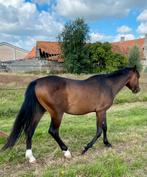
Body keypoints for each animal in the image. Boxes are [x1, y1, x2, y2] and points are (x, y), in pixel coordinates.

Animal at [2, 66, 140, 163]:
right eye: (137, 76)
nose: (137, 90)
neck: (108, 85)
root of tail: (37, 82)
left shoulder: (102, 111)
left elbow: (104, 127)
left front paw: (107, 144)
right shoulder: (100, 111)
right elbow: (99, 130)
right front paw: (85, 148)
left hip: (39, 111)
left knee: (29, 131)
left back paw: (31, 157)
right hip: (57, 113)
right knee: (53, 131)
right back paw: (67, 152)